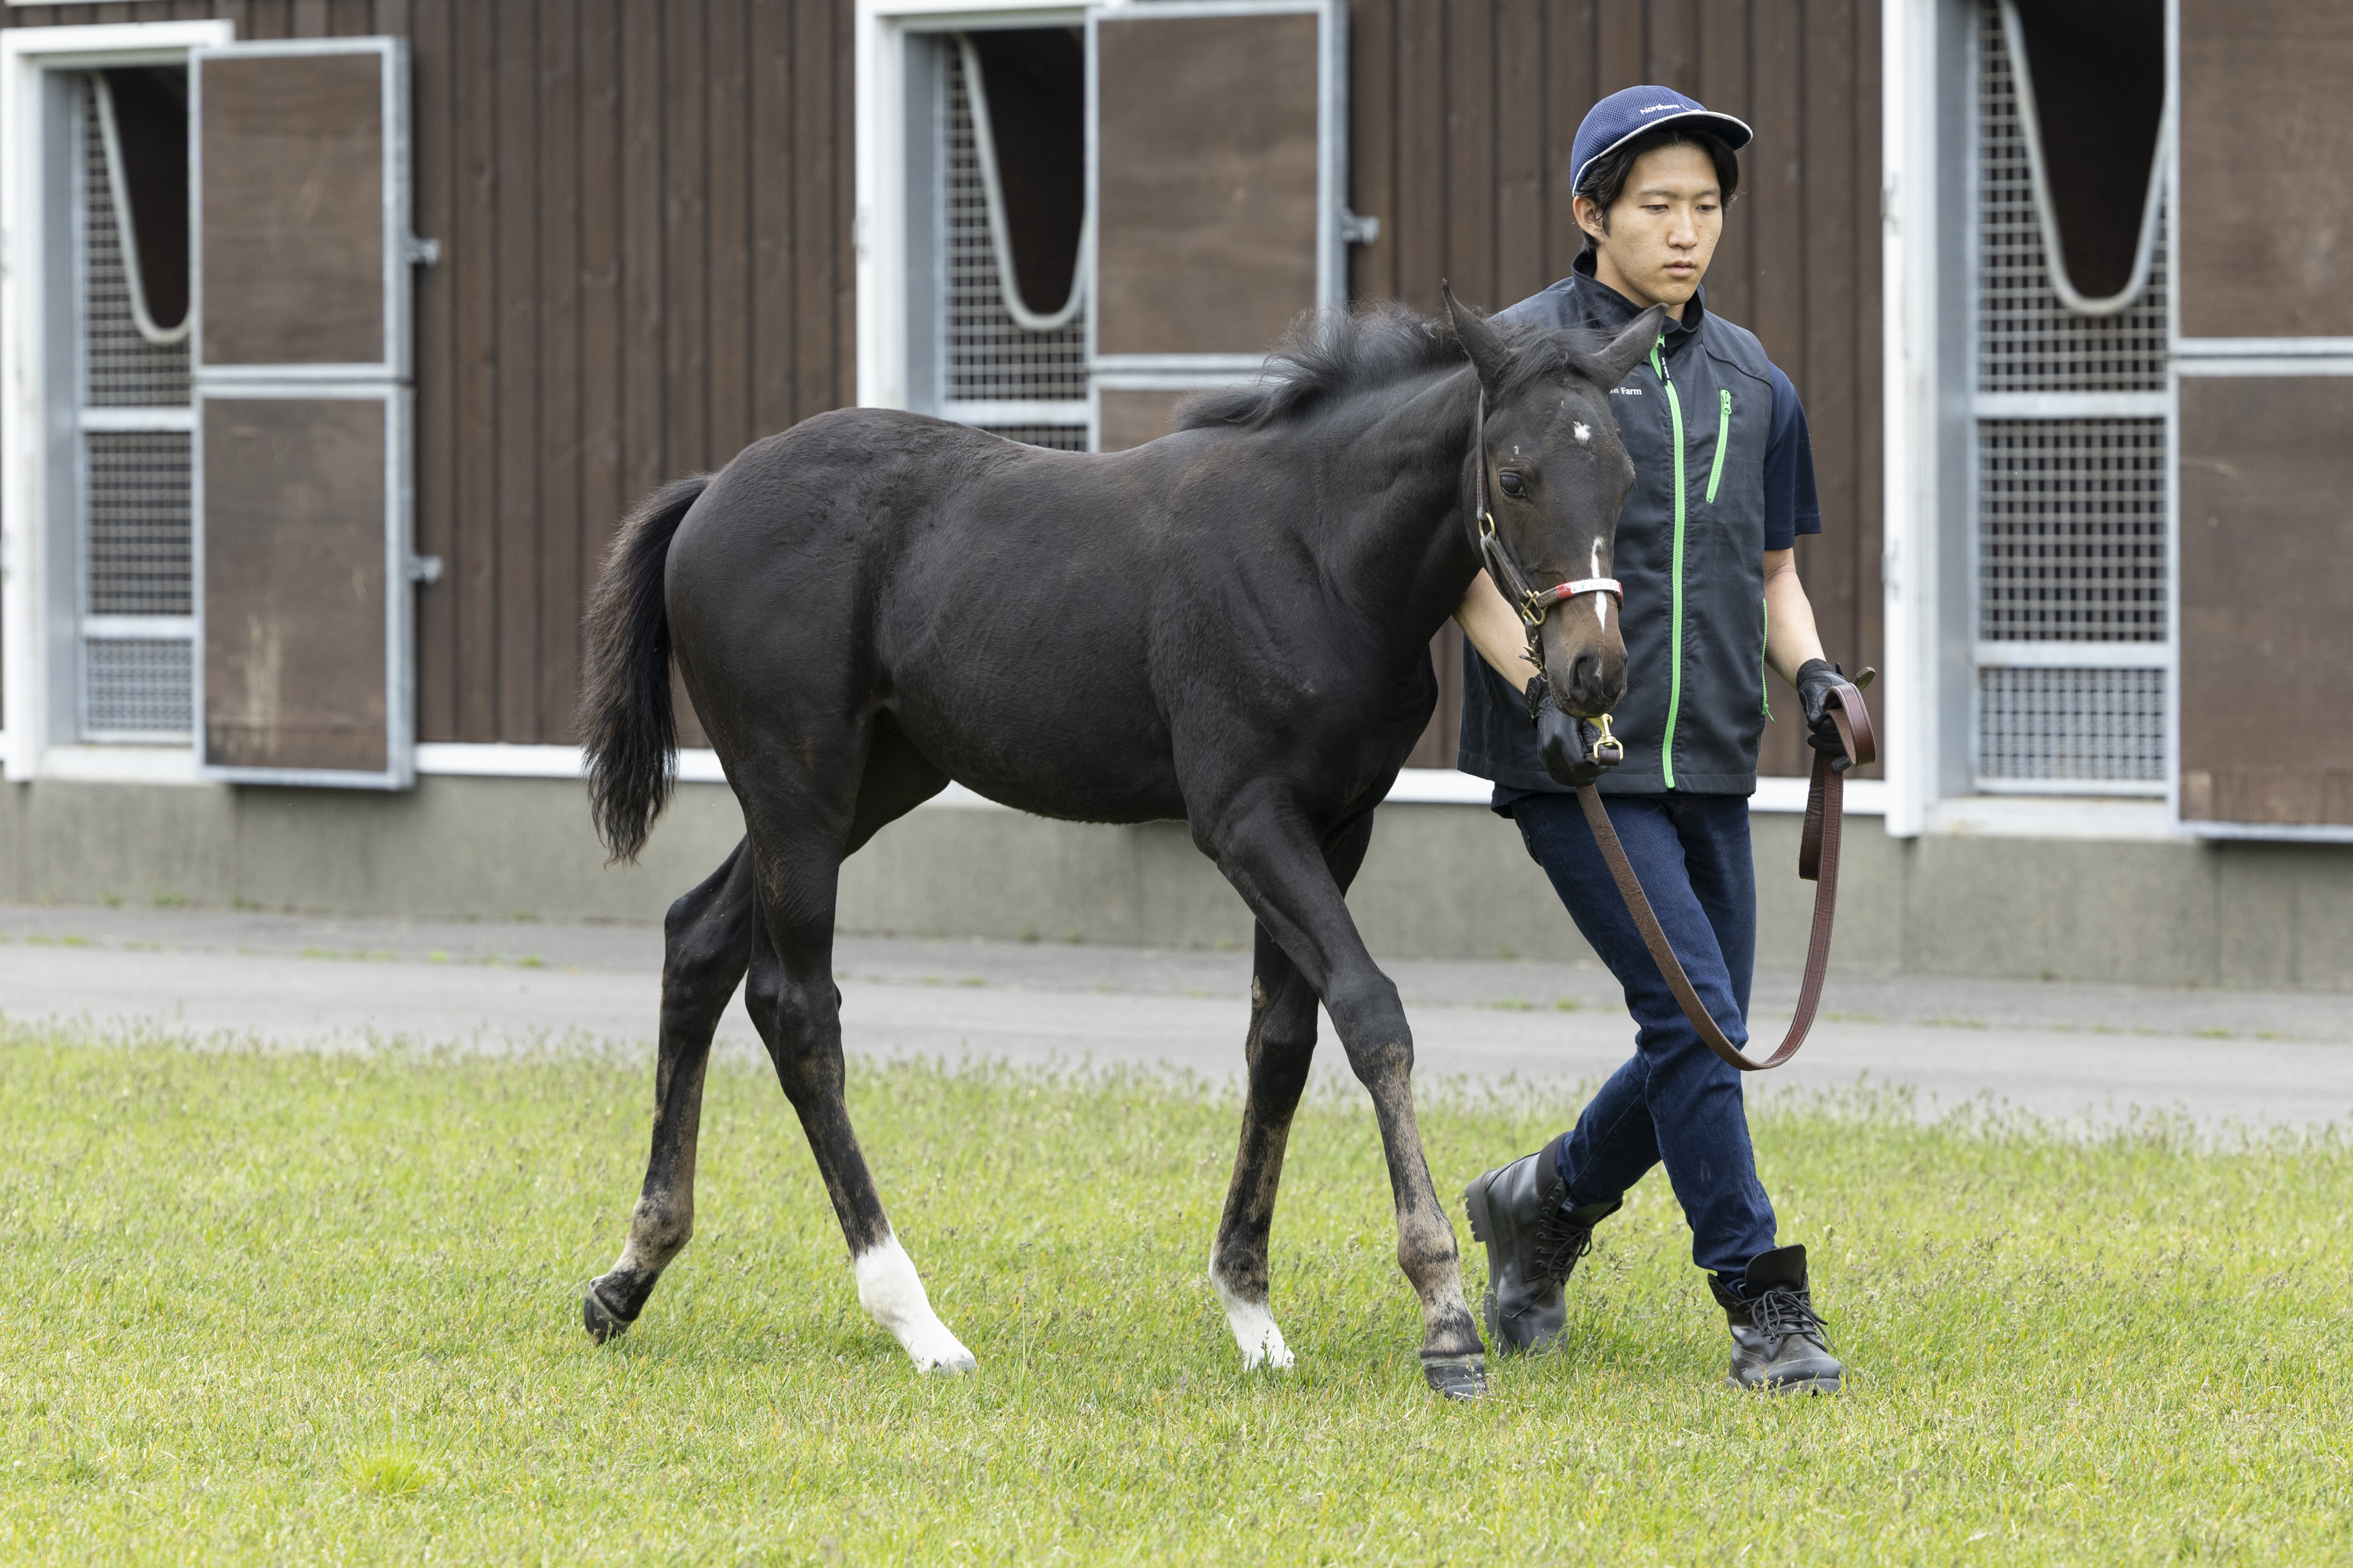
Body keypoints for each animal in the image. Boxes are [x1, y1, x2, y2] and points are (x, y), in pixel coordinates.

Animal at [574, 289, 1667, 1399]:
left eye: (1624, 476)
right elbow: (1372, 1016)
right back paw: (915, 1319)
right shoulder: (1244, 818)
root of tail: (711, 492)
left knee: (698, 940)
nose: (1593, 675)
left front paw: (1251, 1313)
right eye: (1516, 476)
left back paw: (631, 1272)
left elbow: (1282, 1042)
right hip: (797, 785)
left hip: (863, 784)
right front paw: (1444, 1315)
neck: (1316, 553)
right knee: (798, 1011)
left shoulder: (1337, 824)